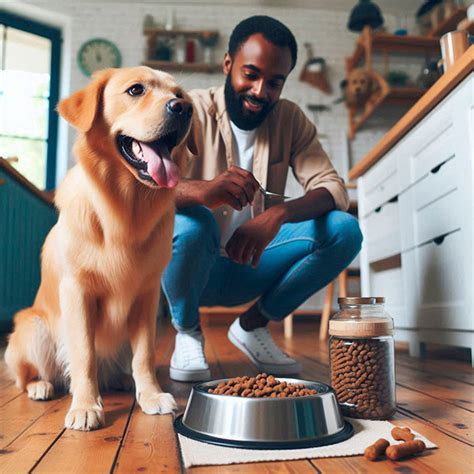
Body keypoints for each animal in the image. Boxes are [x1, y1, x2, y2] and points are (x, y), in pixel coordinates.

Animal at [5, 65, 194, 432]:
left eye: (179, 94)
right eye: (136, 90)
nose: (183, 109)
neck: (125, 211)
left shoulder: (147, 294)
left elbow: (144, 354)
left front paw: (151, 395)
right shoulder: (78, 291)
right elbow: (84, 354)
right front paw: (85, 406)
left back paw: (122, 381)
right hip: (32, 328)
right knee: (27, 375)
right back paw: (41, 385)